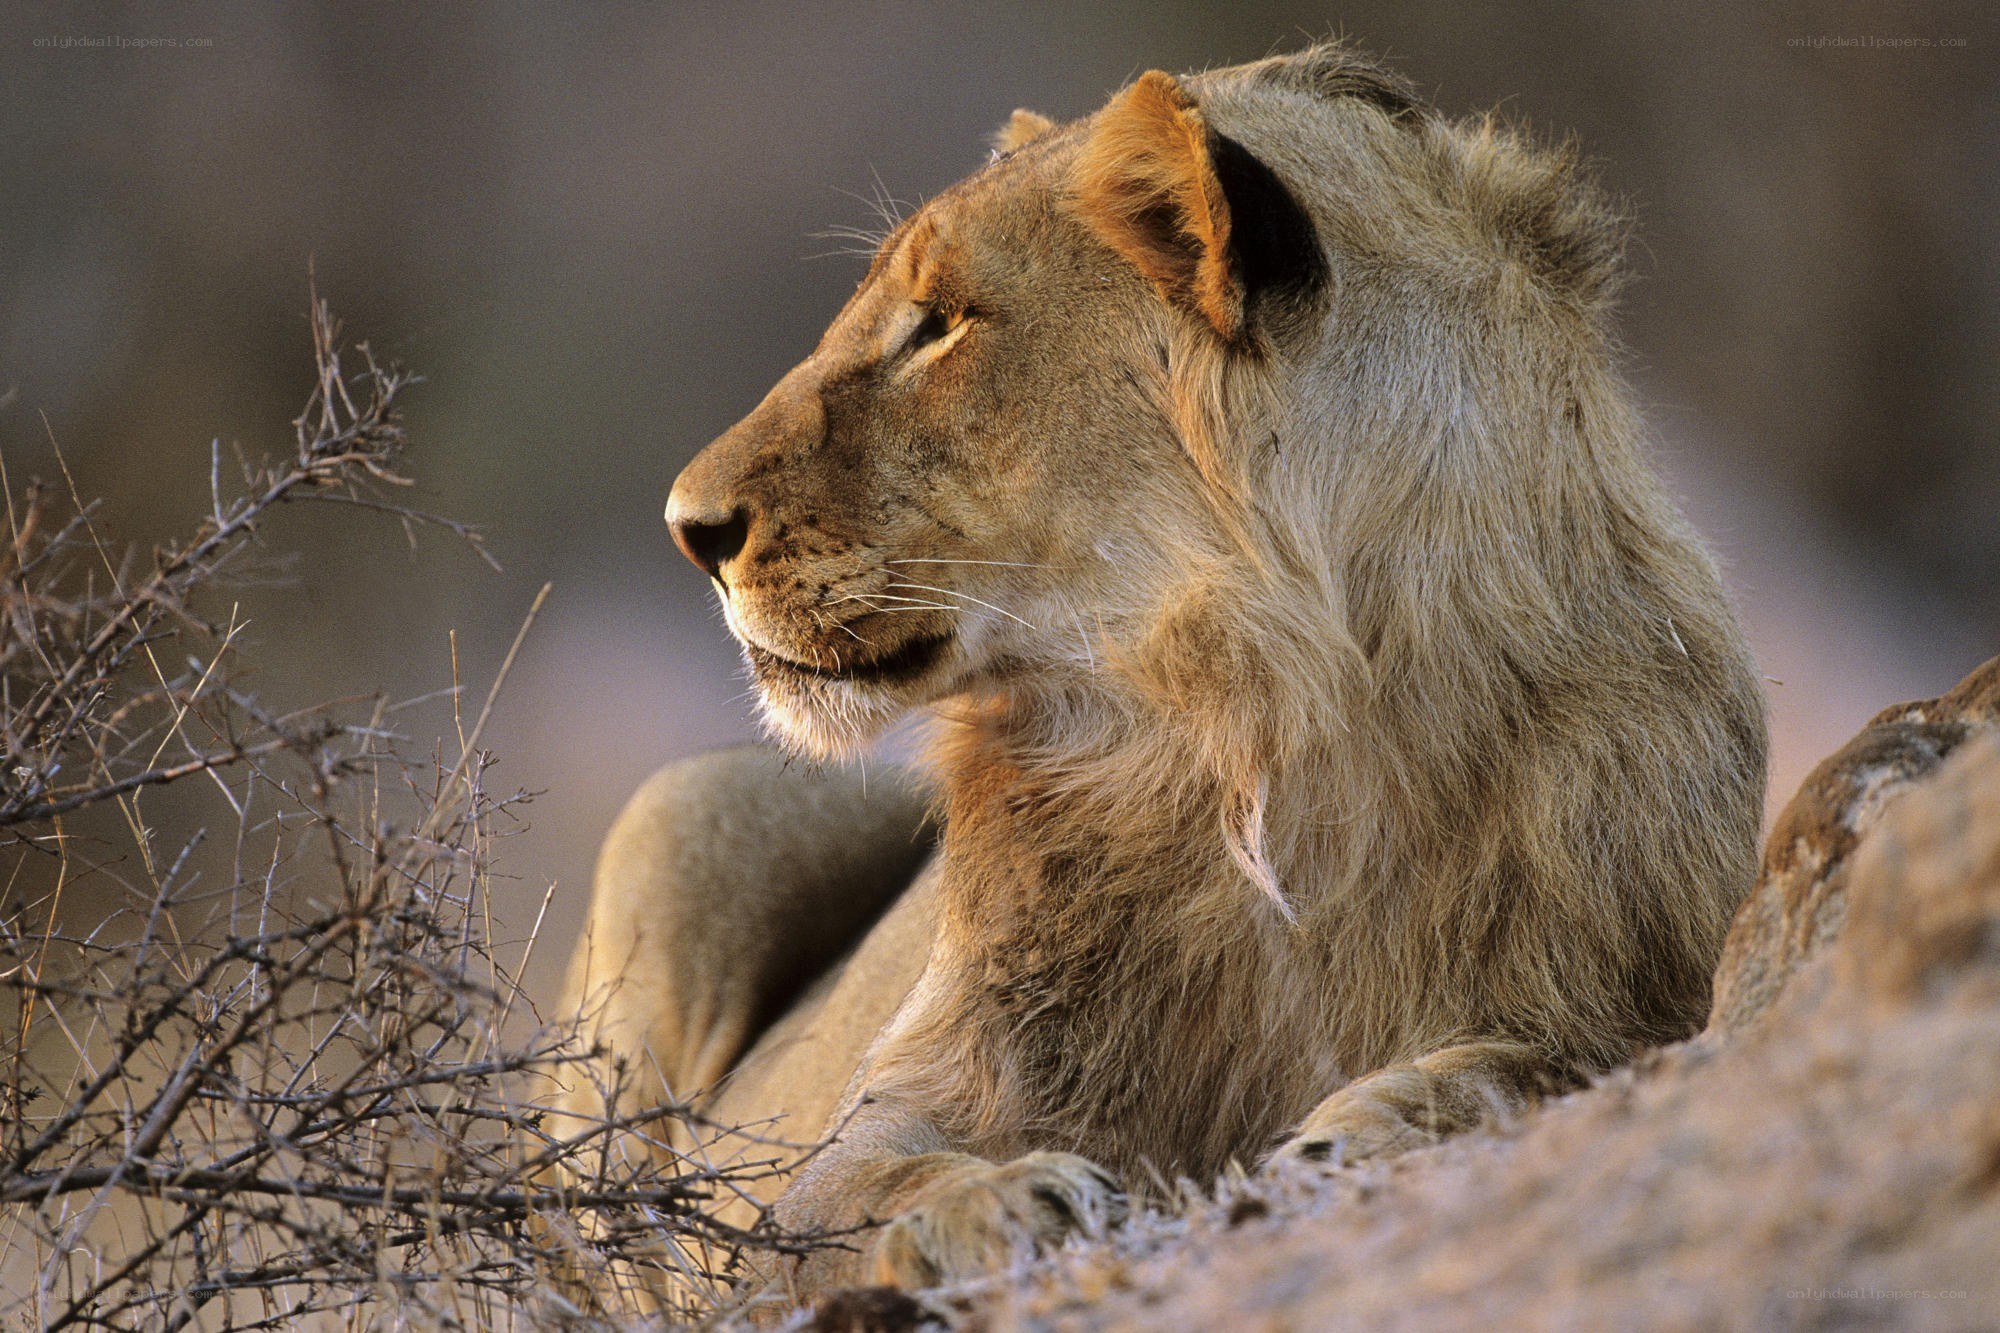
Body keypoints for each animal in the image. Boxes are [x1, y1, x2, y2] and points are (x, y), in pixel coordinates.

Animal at [555, 40, 1768, 1302]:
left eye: (938, 326)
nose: (686, 528)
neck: (1260, 728)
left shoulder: (1654, 976)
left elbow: (1555, 1055)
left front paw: (1379, 1116)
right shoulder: (864, 1135)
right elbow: (855, 1192)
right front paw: (996, 1201)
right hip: (685, 807)